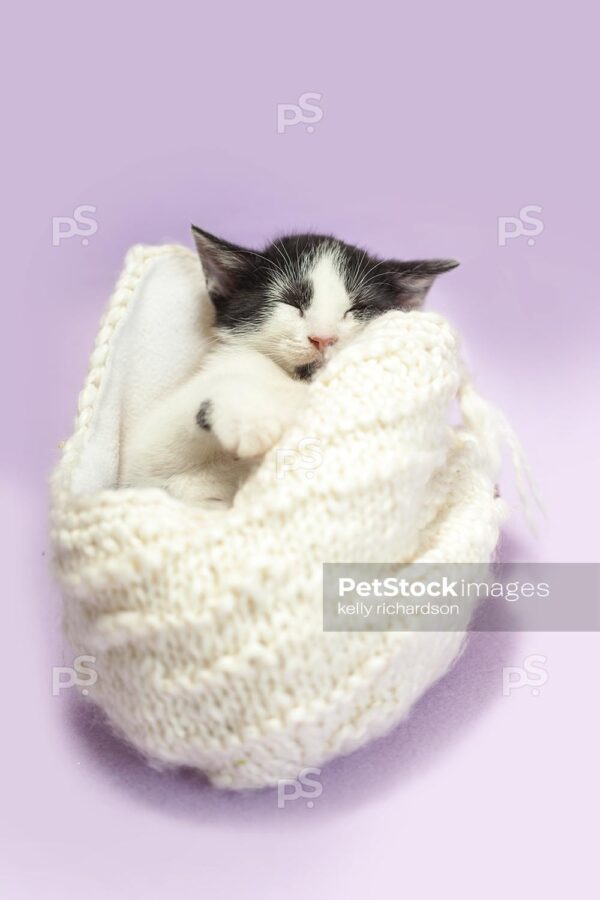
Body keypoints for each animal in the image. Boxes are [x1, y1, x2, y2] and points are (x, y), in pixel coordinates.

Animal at [119, 225, 458, 506]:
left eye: (357, 308)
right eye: (291, 301)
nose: (323, 338)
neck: (295, 384)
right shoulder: (146, 471)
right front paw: (248, 416)